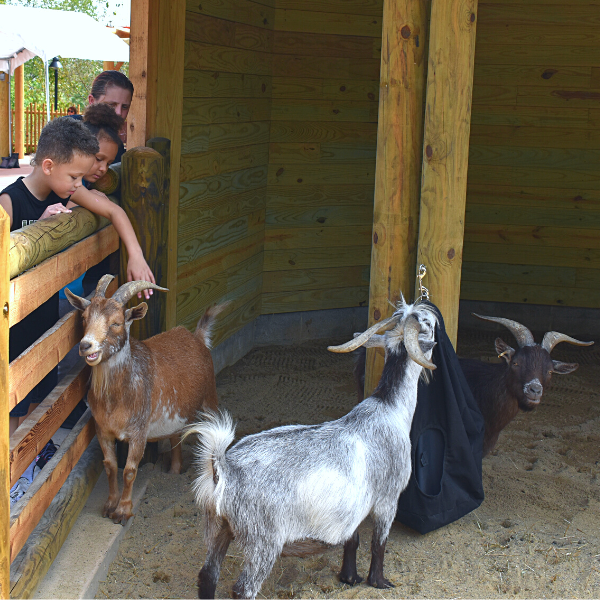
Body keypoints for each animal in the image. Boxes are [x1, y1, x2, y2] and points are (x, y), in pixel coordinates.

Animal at [65, 274, 224, 524]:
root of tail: (197, 337)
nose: (85, 345)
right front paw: (109, 505)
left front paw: (122, 511)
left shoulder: (139, 430)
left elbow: (130, 470)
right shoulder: (102, 429)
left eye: (116, 323)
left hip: (210, 394)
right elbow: (110, 466)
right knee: (176, 436)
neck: (116, 400)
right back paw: (174, 471)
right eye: (84, 317)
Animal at [183, 300, 436, 600]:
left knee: (207, 576)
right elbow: (379, 542)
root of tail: (223, 469)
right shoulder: (388, 497)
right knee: (243, 589)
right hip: (262, 539)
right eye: (427, 322)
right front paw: (379, 581)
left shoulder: (351, 507)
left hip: (217, 526)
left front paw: (349, 577)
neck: (390, 408)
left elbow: (353, 539)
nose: (430, 307)